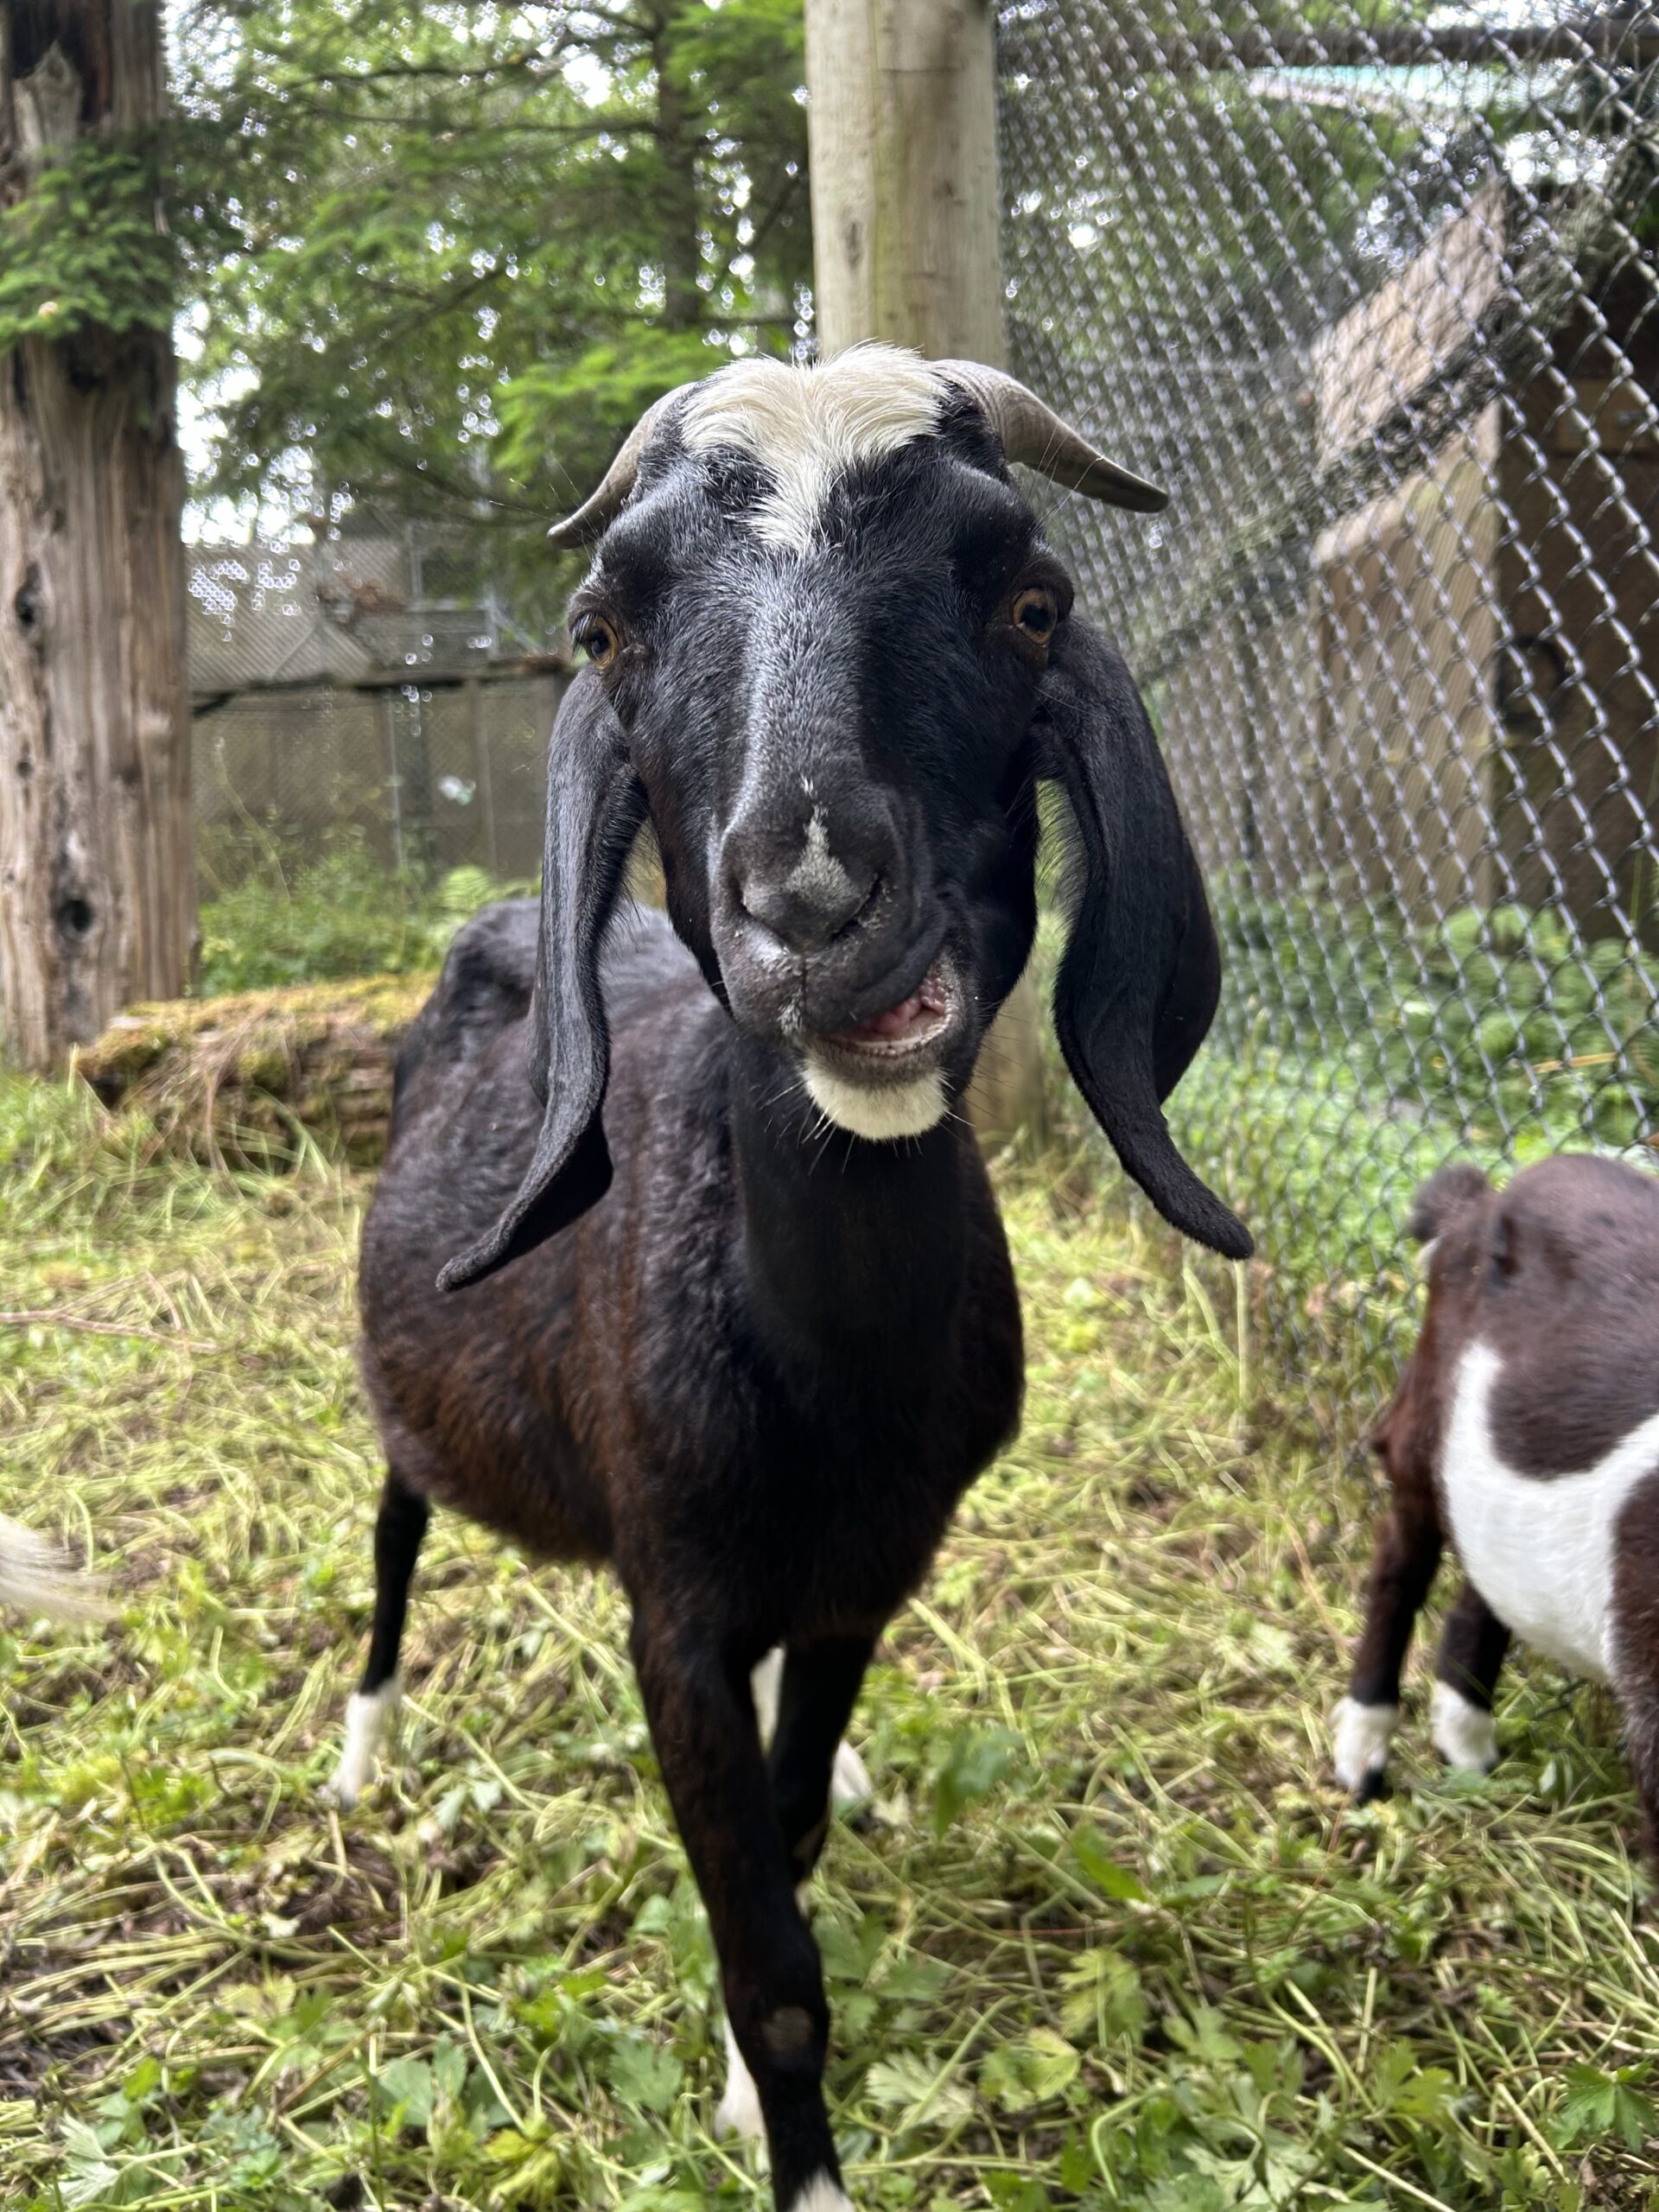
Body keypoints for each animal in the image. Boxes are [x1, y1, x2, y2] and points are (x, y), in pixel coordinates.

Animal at [337, 344, 1250, 2210]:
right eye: (607, 628)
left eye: (1029, 602)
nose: (816, 904)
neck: (829, 1380)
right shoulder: (676, 1614)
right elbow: (772, 1963)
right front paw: (783, 2130)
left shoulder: (865, 1579)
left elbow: (793, 1820)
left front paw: (761, 2086)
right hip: (414, 1406)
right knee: (394, 1533)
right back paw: (363, 1746)